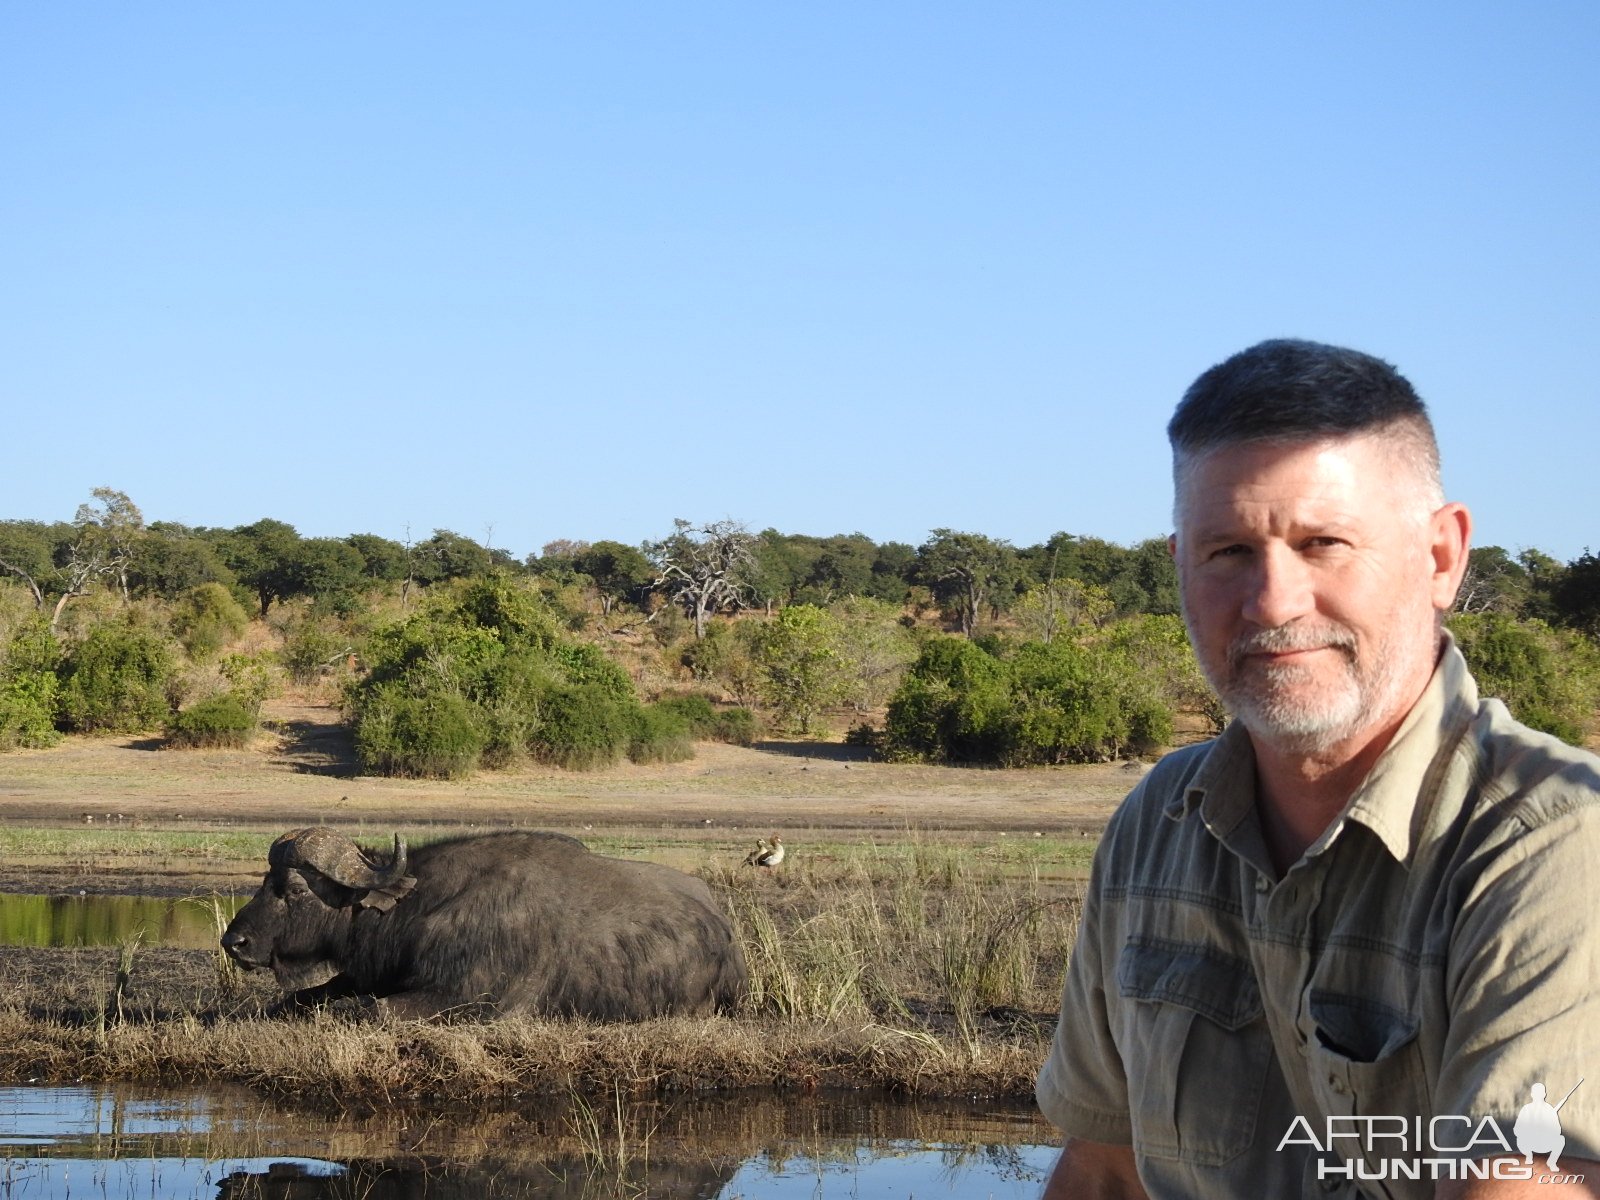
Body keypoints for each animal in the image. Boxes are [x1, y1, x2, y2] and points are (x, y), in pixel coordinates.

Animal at [220, 825, 748, 1024]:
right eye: (265, 879)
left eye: (293, 889)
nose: (234, 942)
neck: (420, 907)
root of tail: (727, 942)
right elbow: (301, 998)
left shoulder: (470, 1001)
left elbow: (367, 1010)